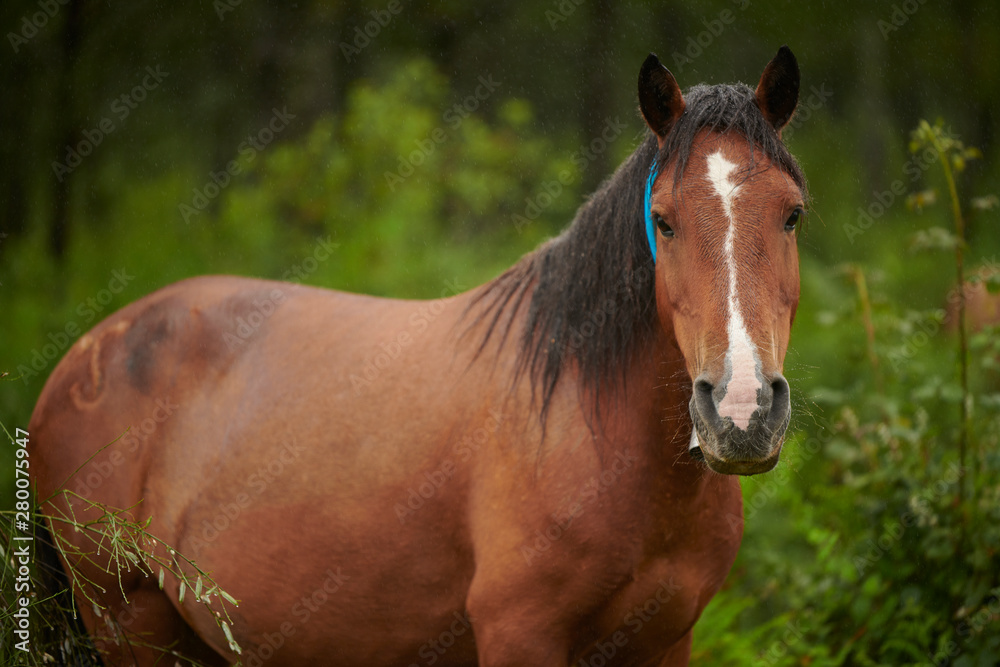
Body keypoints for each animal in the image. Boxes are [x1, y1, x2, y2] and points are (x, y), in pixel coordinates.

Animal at [29, 45, 807, 666]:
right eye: (664, 222)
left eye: (792, 214)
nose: (741, 412)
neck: (590, 425)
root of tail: (85, 356)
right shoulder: (519, 635)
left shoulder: (667, 640)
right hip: (129, 621)